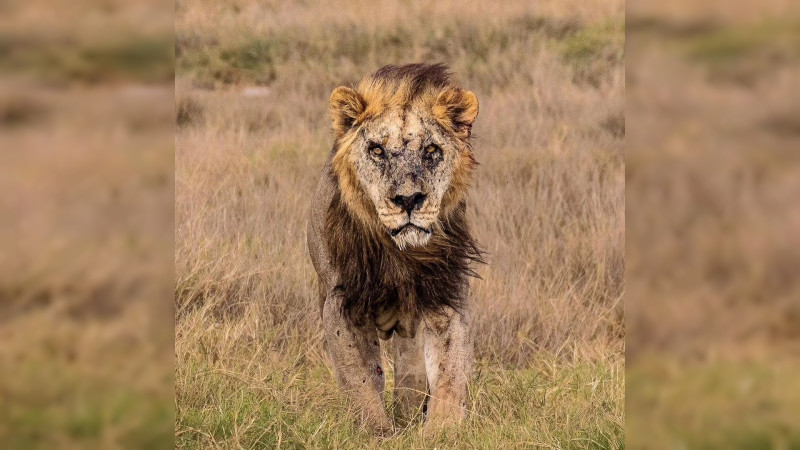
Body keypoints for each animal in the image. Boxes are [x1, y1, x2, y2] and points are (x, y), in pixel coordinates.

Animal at [307, 63, 483, 434]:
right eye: (377, 150)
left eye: (431, 151)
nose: (408, 199)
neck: (401, 253)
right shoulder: (342, 301)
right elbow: (360, 380)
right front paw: (376, 432)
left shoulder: (447, 296)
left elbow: (451, 374)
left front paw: (442, 432)